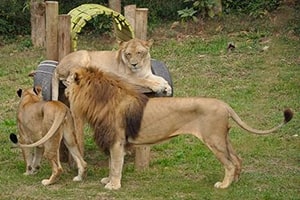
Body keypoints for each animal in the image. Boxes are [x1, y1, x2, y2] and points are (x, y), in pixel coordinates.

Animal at [64, 66, 292, 190]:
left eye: (67, 81)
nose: (64, 91)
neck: (100, 98)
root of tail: (224, 104)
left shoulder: (117, 140)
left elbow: (116, 165)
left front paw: (113, 185)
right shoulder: (112, 140)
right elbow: (112, 163)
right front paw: (108, 180)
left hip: (213, 140)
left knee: (229, 163)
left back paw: (224, 185)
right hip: (223, 138)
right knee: (237, 159)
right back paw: (234, 182)